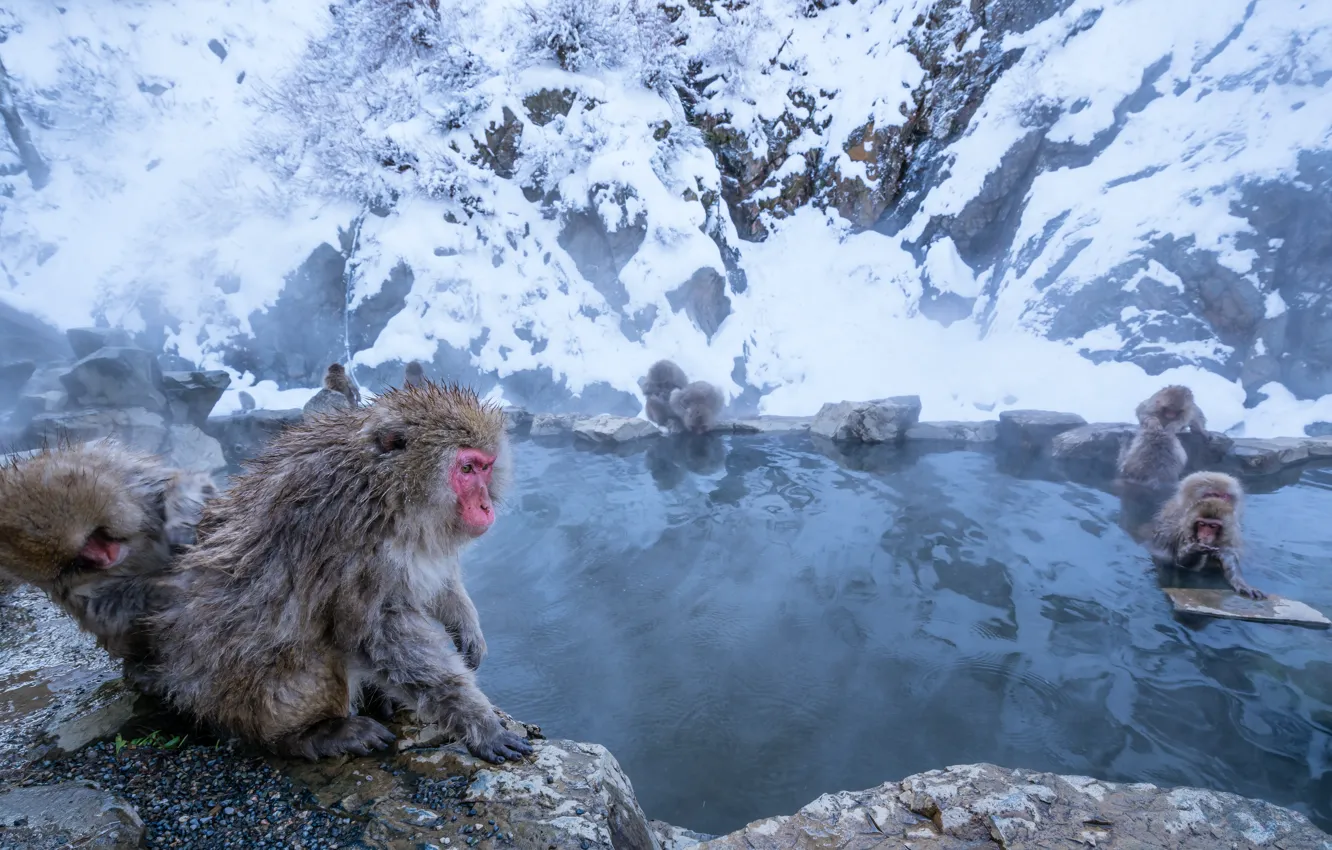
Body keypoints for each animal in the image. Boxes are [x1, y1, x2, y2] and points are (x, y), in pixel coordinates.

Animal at [0, 440, 216, 668]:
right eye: (74, 564)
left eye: (92, 538)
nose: (105, 559)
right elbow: (102, 610)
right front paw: (161, 591)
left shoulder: (138, 482)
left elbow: (192, 484)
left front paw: (181, 525)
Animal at [148, 381, 535, 763]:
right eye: (466, 469)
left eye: (486, 467)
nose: (485, 506)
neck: (387, 490)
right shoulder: (344, 531)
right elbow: (379, 634)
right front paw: (480, 724)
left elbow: (437, 576)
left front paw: (466, 627)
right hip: (243, 695)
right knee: (316, 651)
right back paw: (313, 734)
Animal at [1150, 471, 1264, 599]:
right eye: (1212, 494)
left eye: (1224, 496)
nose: (1222, 503)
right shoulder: (1173, 525)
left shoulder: (1230, 526)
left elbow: (1228, 553)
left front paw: (1240, 582)